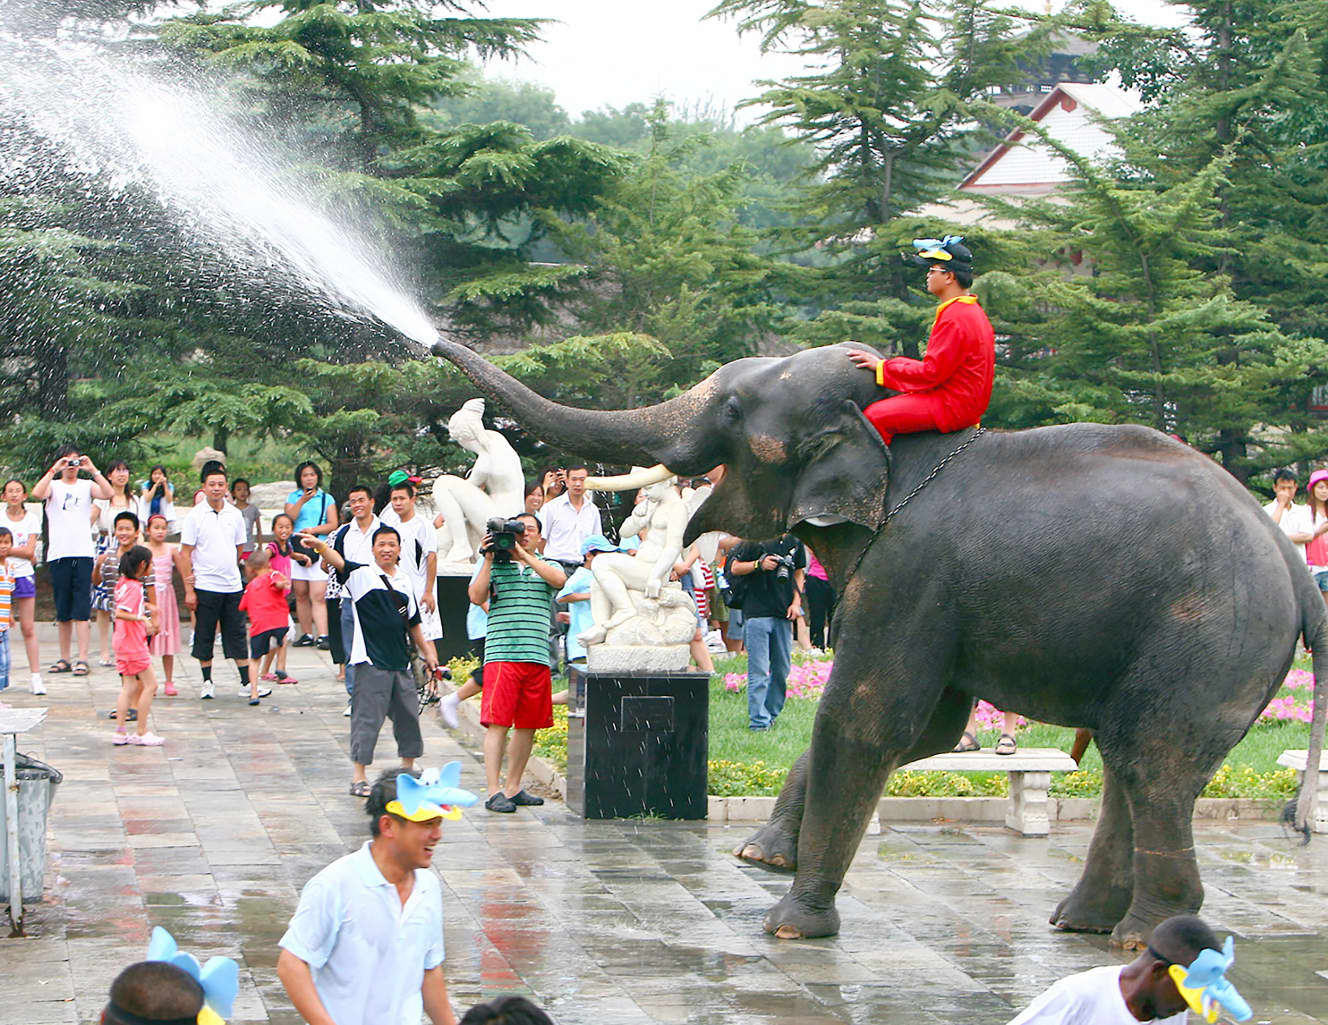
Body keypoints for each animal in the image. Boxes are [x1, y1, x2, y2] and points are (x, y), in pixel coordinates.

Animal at [430, 335, 1322, 945]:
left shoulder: (910, 569)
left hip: (1210, 633)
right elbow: (933, 727)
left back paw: (1148, 937)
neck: (888, 437)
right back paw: (1083, 924)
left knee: (1152, 761)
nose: (437, 349)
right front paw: (758, 855)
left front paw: (788, 922)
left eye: (732, 411)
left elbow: (866, 716)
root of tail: (1293, 566)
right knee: (1128, 762)